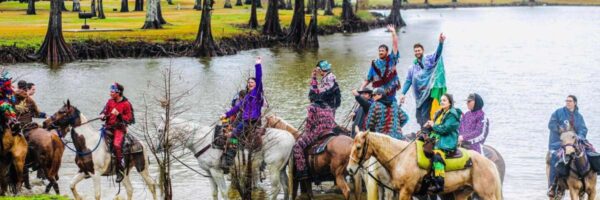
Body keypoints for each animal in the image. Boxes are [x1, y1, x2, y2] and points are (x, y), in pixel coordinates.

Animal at [346, 130, 502, 199]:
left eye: (358, 147)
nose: (350, 169)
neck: (400, 157)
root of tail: (490, 164)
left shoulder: (405, 191)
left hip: (487, 195)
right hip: (461, 193)